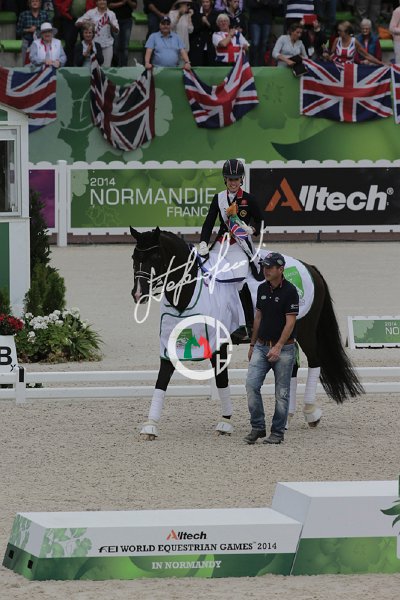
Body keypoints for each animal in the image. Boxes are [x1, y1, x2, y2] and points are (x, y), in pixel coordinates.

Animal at [130, 227, 364, 440]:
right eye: (134, 257)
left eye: (155, 256)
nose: (138, 294)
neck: (188, 294)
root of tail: (309, 266)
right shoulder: (171, 344)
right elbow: (161, 380)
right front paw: (150, 426)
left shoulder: (219, 345)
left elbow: (221, 380)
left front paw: (225, 422)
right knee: (292, 369)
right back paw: (287, 418)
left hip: (306, 330)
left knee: (315, 362)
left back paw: (310, 412)